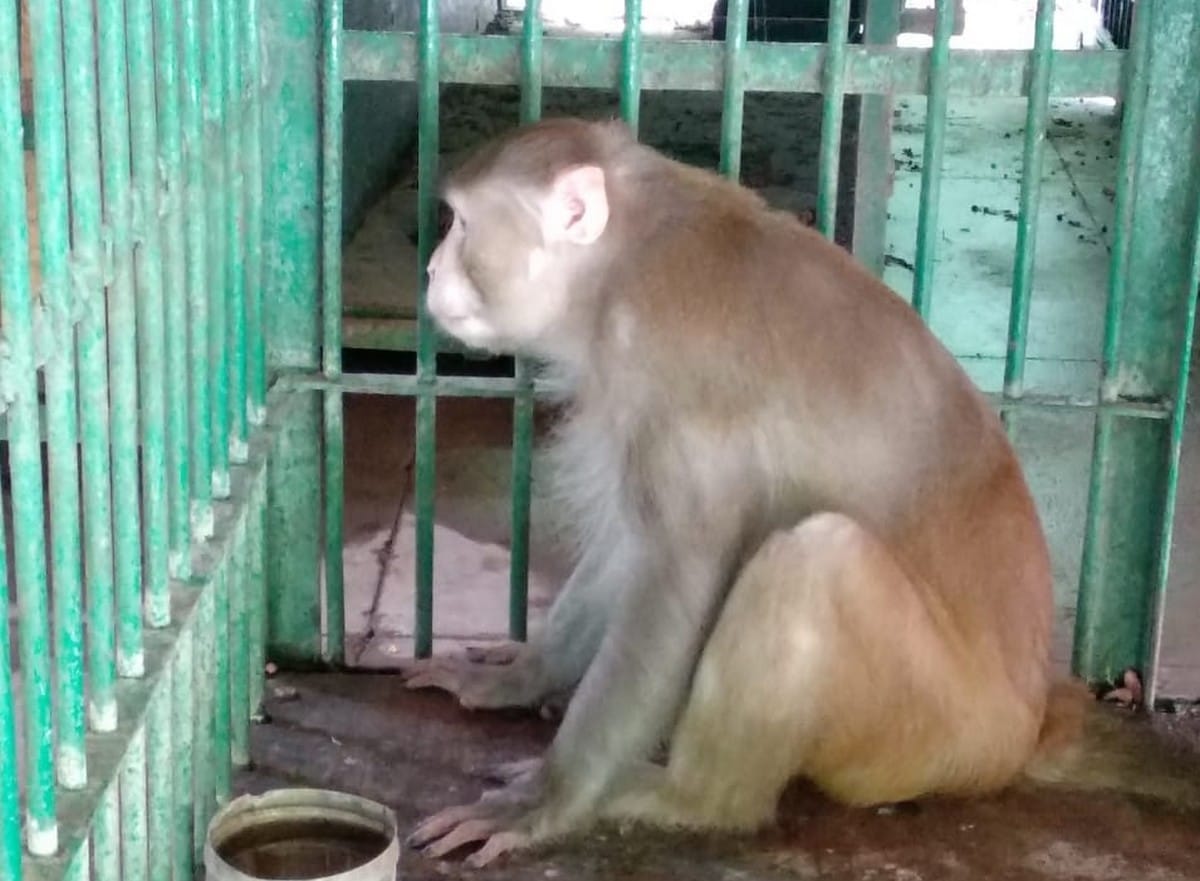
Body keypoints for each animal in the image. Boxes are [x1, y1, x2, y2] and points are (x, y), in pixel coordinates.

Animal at [396, 115, 1087, 867]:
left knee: (815, 557)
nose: (430, 270)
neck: (623, 261)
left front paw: (548, 799)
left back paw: (691, 799)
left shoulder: (673, 380)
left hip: (936, 734)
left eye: (462, 224)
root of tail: (1023, 729)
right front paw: (519, 678)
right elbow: (632, 544)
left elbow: (674, 573)